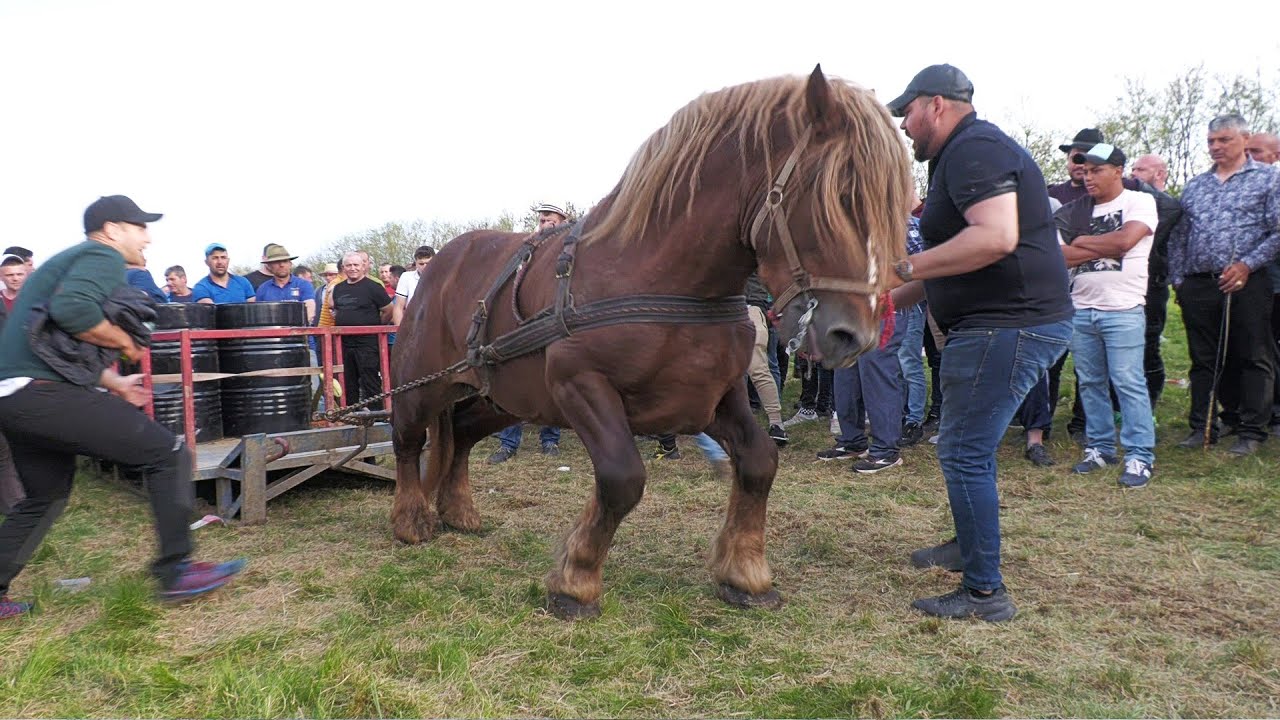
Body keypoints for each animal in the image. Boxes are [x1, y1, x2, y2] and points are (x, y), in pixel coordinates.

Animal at [389, 65, 912, 619]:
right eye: (841, 196)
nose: (854, 336)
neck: (663, 278)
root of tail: (441, 264)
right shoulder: (580, 385)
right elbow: (622, 478)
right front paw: (575, 579)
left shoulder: (715, 396)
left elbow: (759, 462)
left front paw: (745, 573)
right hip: (424, 386)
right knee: (409, 440)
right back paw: (412, 519)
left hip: (509, 398)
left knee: (463, 433)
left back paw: (459, 509)